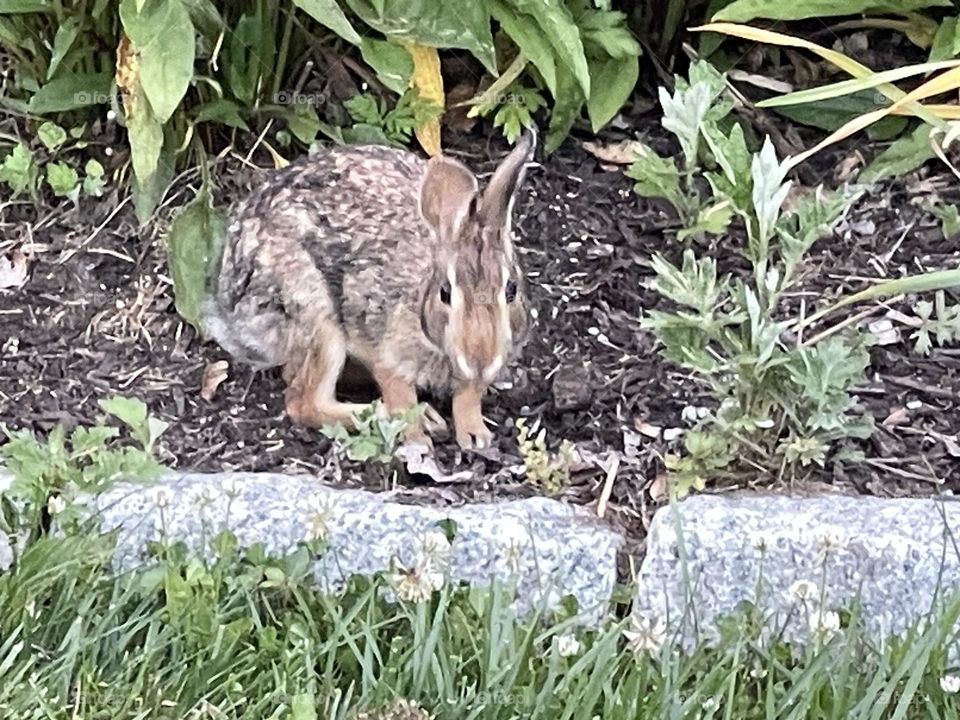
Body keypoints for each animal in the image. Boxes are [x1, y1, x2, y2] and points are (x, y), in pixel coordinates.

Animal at [201, 126, 536, 450]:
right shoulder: (386, 354)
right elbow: (401, 397)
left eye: (511, 290)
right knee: (303, 401)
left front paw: (475, 435)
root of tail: (228, 301)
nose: (480, 358)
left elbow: (467, 397)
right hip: (316, 321)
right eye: (445, 293)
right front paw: (416, 438)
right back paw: (407, 416)